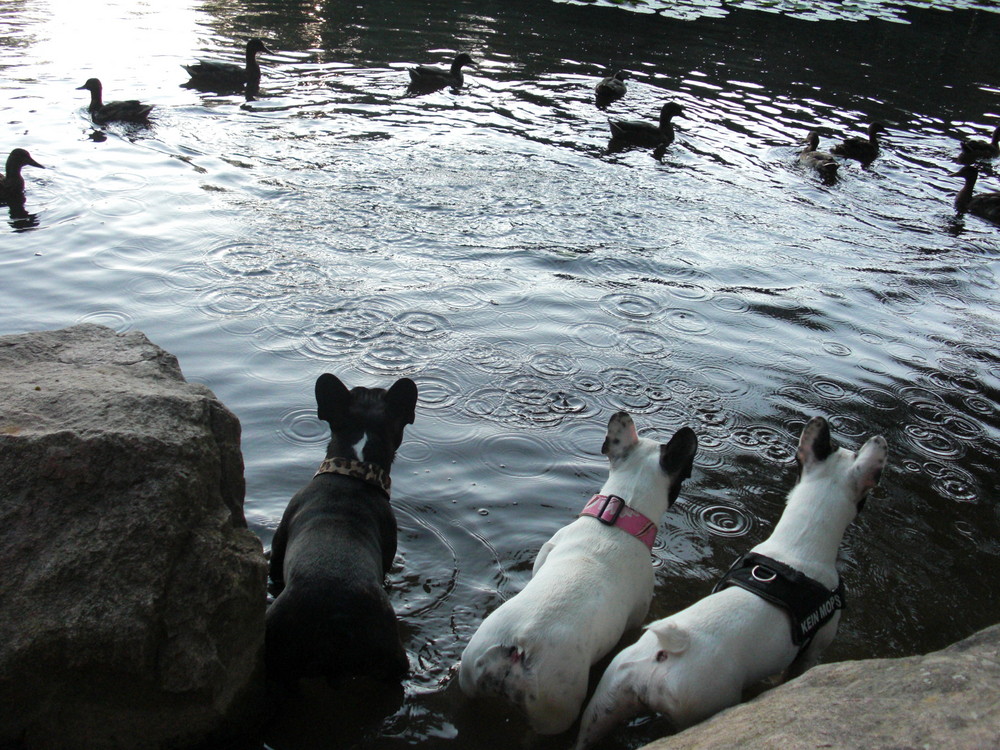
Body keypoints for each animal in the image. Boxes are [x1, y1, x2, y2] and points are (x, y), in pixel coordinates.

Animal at [576, 418, 888, 750]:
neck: (799, 545)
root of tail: (665, 652)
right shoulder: (813, 648)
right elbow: (794, 672)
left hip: (607, 700)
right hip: (704, 705)